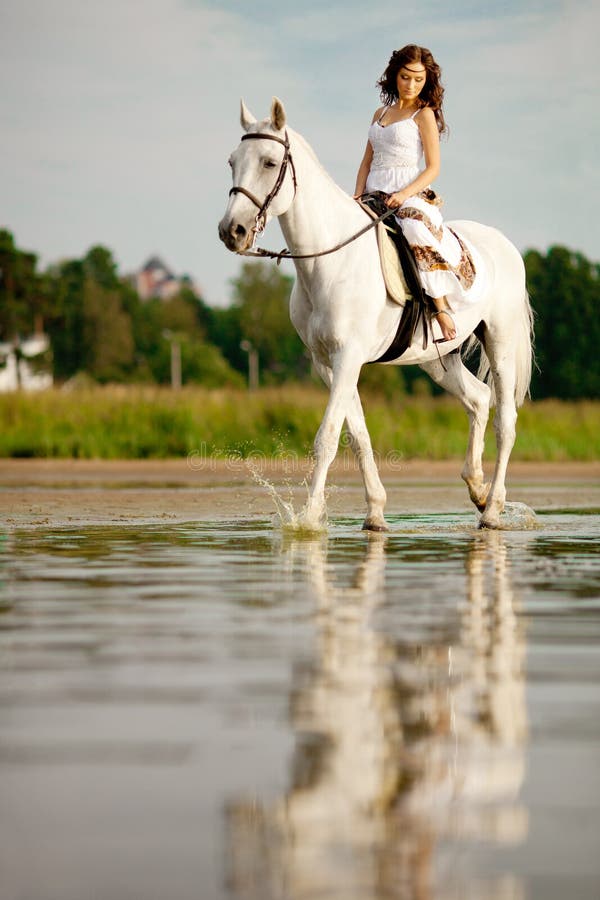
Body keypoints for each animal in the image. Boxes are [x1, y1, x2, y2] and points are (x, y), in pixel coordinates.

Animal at [218, 95, 532, 532]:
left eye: (268, 162)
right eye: (232, 161)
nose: (232, 231)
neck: (329, 260)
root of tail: (504, 244)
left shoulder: (348, 357)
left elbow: (327, 436)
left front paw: (308, 520)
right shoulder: (327, 363)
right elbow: (357, 436)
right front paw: (375, 514)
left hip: (499, 344)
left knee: (506, 422)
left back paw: (493, 510)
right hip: (437, 359)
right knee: (478, 399)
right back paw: (477, 489)